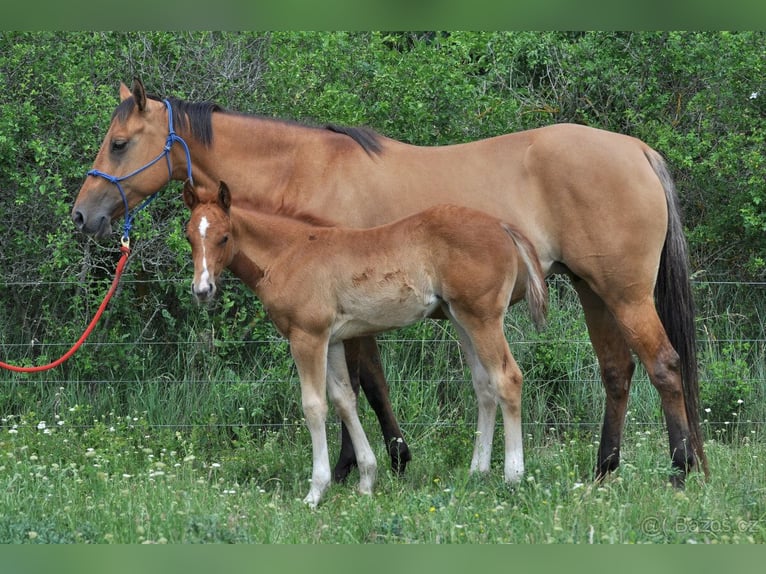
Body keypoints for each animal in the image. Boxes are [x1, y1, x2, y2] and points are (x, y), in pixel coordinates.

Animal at [182, 179, 548, 506]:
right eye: (189, 237)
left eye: (224, 237)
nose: (203, 291)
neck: (290, 253)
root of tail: (502, 226)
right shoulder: (332, 340)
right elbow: (345, 400)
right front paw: (367, 480)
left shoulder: (307, 337)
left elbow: (314, 406)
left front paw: (316, 491)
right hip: (460, 319)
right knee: (484, 386)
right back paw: (477, 473)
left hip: (482, 318)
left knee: (507, 379)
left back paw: (513, 477)